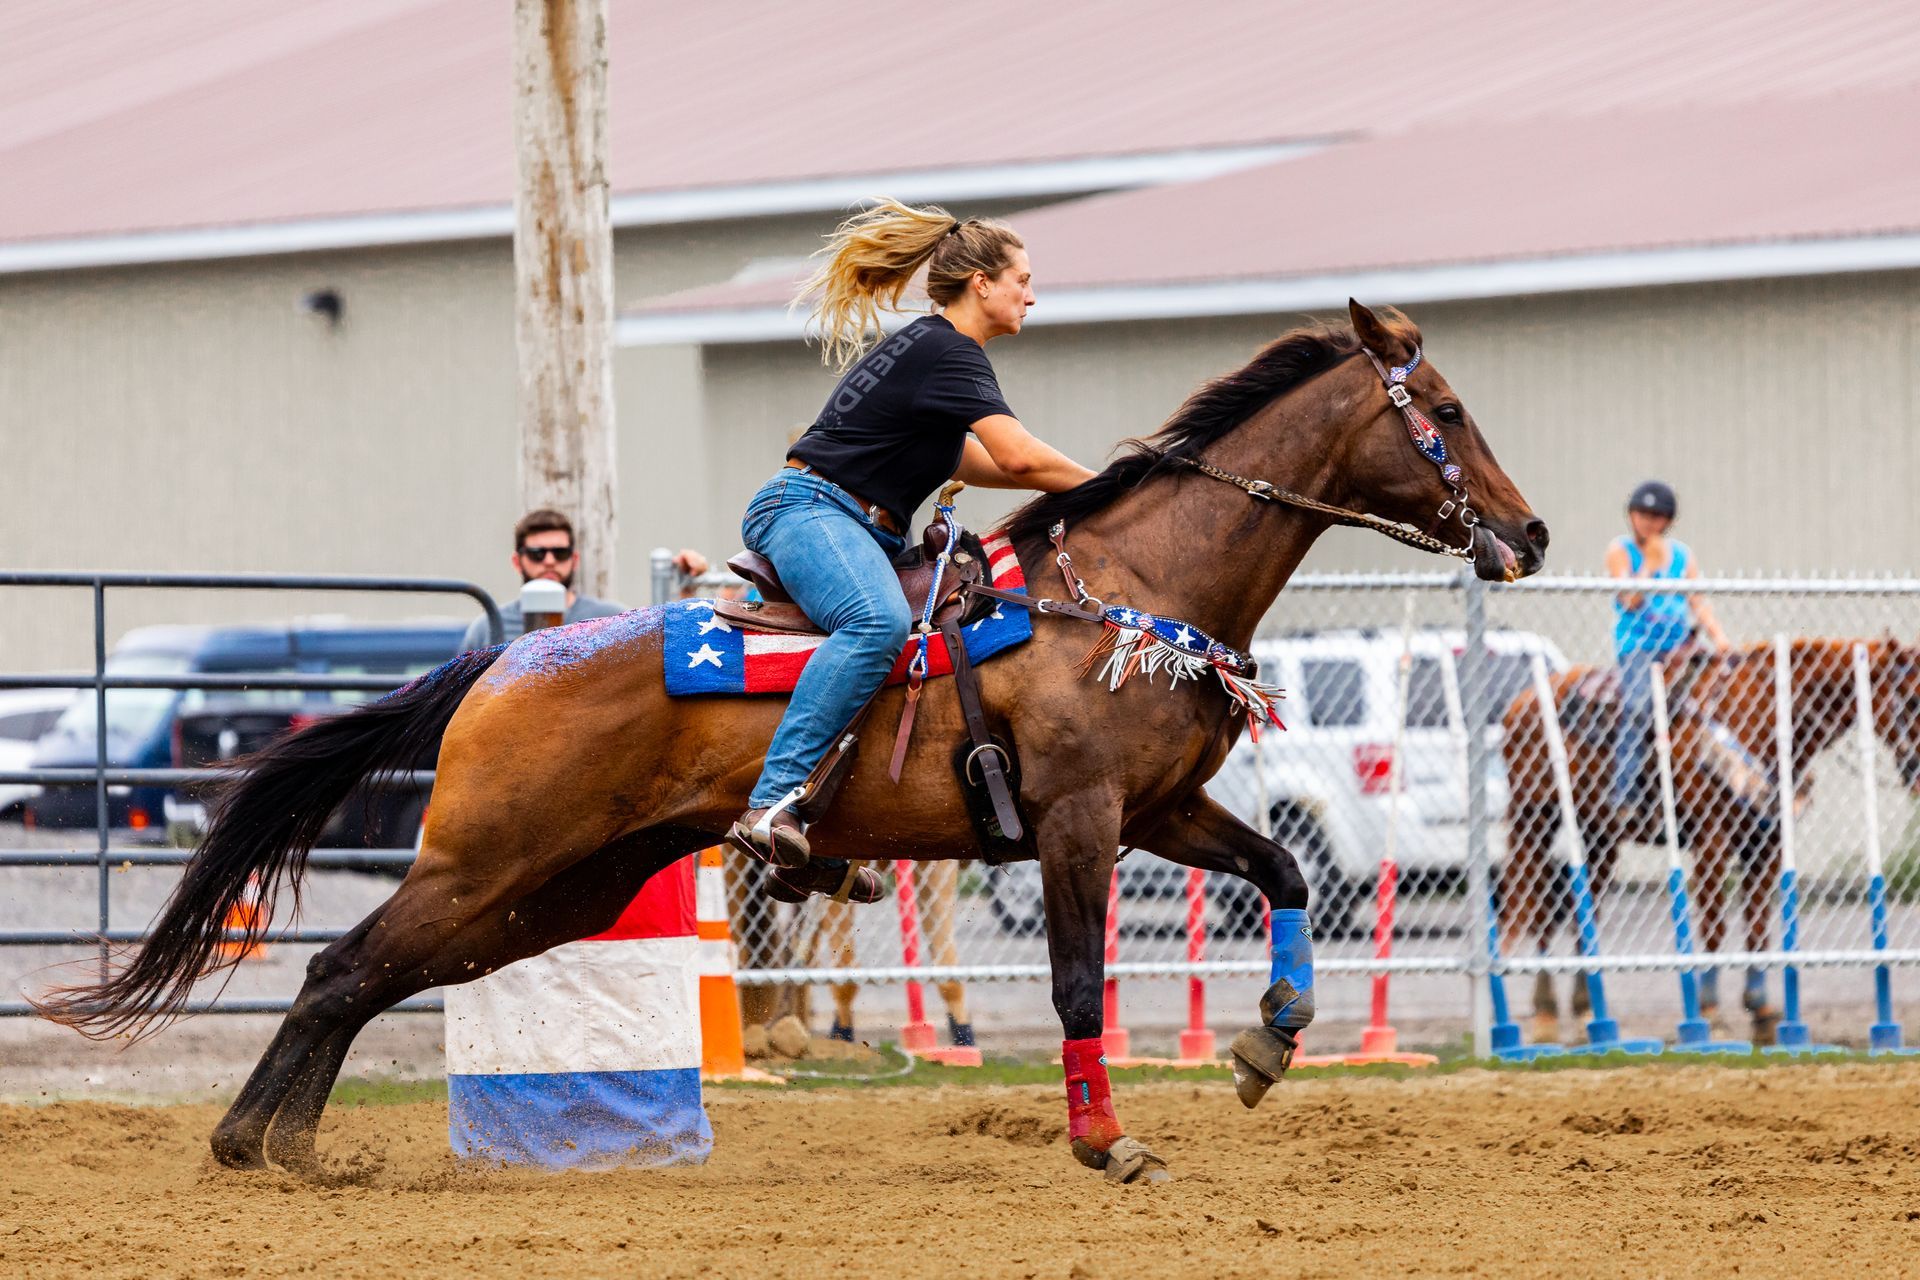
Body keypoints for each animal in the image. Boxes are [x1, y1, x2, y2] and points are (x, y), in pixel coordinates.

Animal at [36, 301, 1547, 1183]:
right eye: (1448, 411)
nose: (1528, 532)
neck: (1129, 589)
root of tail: (503, 659)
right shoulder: (1078, 822)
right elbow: (1072, 984)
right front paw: (1107, 1144)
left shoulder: (1164, 811)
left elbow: (1286, 878)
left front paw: (1270, 1042)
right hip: (485, 864)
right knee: (343, 962)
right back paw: (261, 1142)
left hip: (555, 890)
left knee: (362, 976)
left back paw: (274, 1142)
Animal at [1502, 637, 1920, 1042]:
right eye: (1913, 699)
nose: (1915, 772)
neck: (1759, 716)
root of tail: (1520, 704)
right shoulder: (1712, 843)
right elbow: (1715, 926)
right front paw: (1712, 1014)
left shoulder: (1766, 848)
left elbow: (1757, 929)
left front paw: (1762, 1012)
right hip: (1533, 825)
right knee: (1535, 911)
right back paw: (1544, 1014)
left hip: (1599, 839)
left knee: (1582, 912)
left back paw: (1586, 1012)